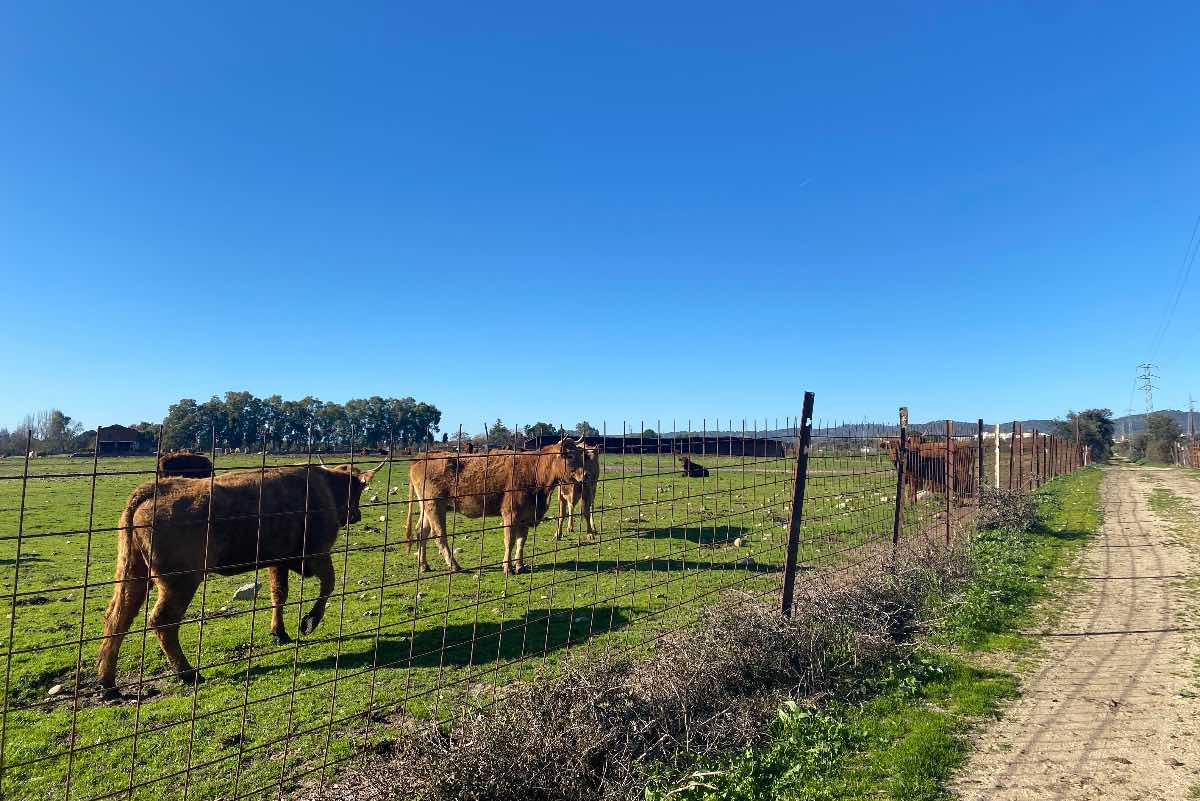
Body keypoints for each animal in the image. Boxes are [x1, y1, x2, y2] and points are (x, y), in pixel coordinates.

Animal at [97, 460, 379, 690]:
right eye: (358, 490)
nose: (357, 514)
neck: (327, 486)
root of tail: (156, 488)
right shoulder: (316, 554)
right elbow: (329, 583)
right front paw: (310, 621)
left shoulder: (277, 560)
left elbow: (279, 594)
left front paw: (279, 632)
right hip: (180, 581)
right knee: (162, 621)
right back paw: (188, 673)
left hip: (133, 572)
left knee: (118, 617)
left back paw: (107, 682)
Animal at [405, 438, 588, 575]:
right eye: (570, 455)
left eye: (581, 454)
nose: (586, 474)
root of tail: (421, 457)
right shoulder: (511, 514)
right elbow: (510, 541)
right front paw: (507, 567)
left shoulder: (526, 515)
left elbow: (521, 541)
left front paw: (520, 565)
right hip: (435, 505)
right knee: (439, 535)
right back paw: (454, 565)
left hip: (427, 507)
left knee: (422, 531)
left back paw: (424, 565)